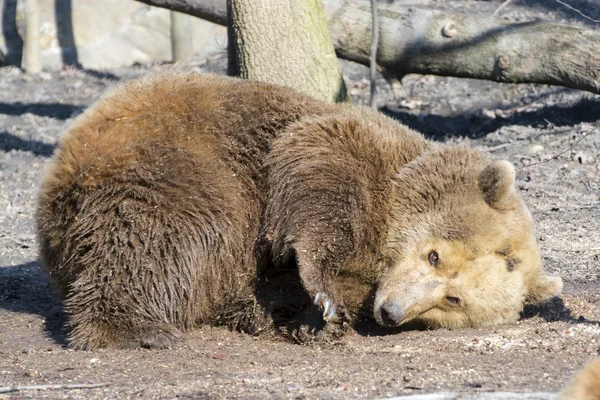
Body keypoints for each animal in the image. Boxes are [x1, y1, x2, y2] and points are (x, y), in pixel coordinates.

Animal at [37, 72, 564, 350]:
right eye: (435, 256)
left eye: (454, 299)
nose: (391, 312)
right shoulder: (345, 147)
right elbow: (319, 171)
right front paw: (322, 296)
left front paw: (306, 317)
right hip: (176, 166)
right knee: (160, 241)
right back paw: (137, 329)